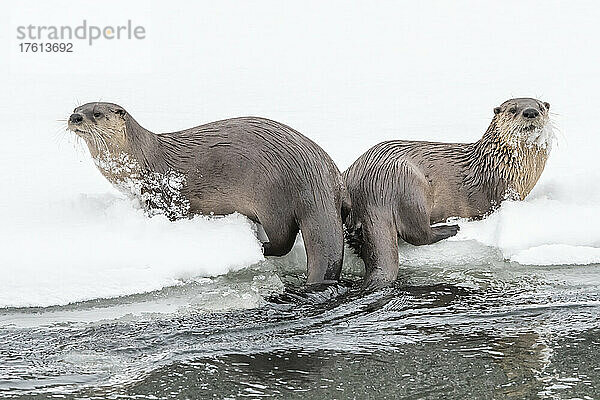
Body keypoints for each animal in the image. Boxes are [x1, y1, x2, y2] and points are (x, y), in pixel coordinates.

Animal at [66, 101, 350, 286]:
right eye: (76, 109)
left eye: (97, 113)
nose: (75, 118)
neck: (139, 161)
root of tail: (316, 179)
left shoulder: (163, 194)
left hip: (272, 202)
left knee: (284, 240)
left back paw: (261, 246)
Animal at [344, 98, 556, 290]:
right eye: (513, 109)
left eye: (541, 107)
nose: (530, 112)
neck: (498, 164)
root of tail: (371, 189)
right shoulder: (500, 193)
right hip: (410, 186)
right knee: (418, 234)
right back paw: (450, 228)